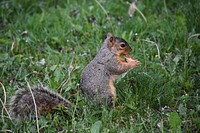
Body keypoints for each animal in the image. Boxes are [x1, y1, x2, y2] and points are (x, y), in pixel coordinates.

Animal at [8, 33, 140, 119]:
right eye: (122, 45)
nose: (131, 49)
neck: (108, 50)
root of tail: (91, 108)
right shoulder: (110, 62)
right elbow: (119, 69)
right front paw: (134, 63)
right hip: (107, 95)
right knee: (108, 108)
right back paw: (118, 108)